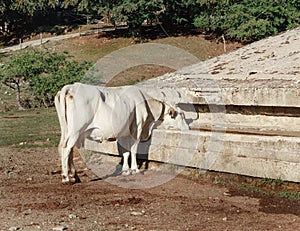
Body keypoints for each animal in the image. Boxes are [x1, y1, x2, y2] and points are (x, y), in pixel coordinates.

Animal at [54, 82, 190, 183]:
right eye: (181, 115)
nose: (188, 128)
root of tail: (71, 87)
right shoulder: (137, 130)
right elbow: (134, 150)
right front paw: (135, 169)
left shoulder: (124, 133)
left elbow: (125, 152)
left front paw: (125, 170)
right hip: (76, 130)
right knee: (66, 148)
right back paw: (66, 178)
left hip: (66, 130)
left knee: (65, 148)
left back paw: (74, 176)